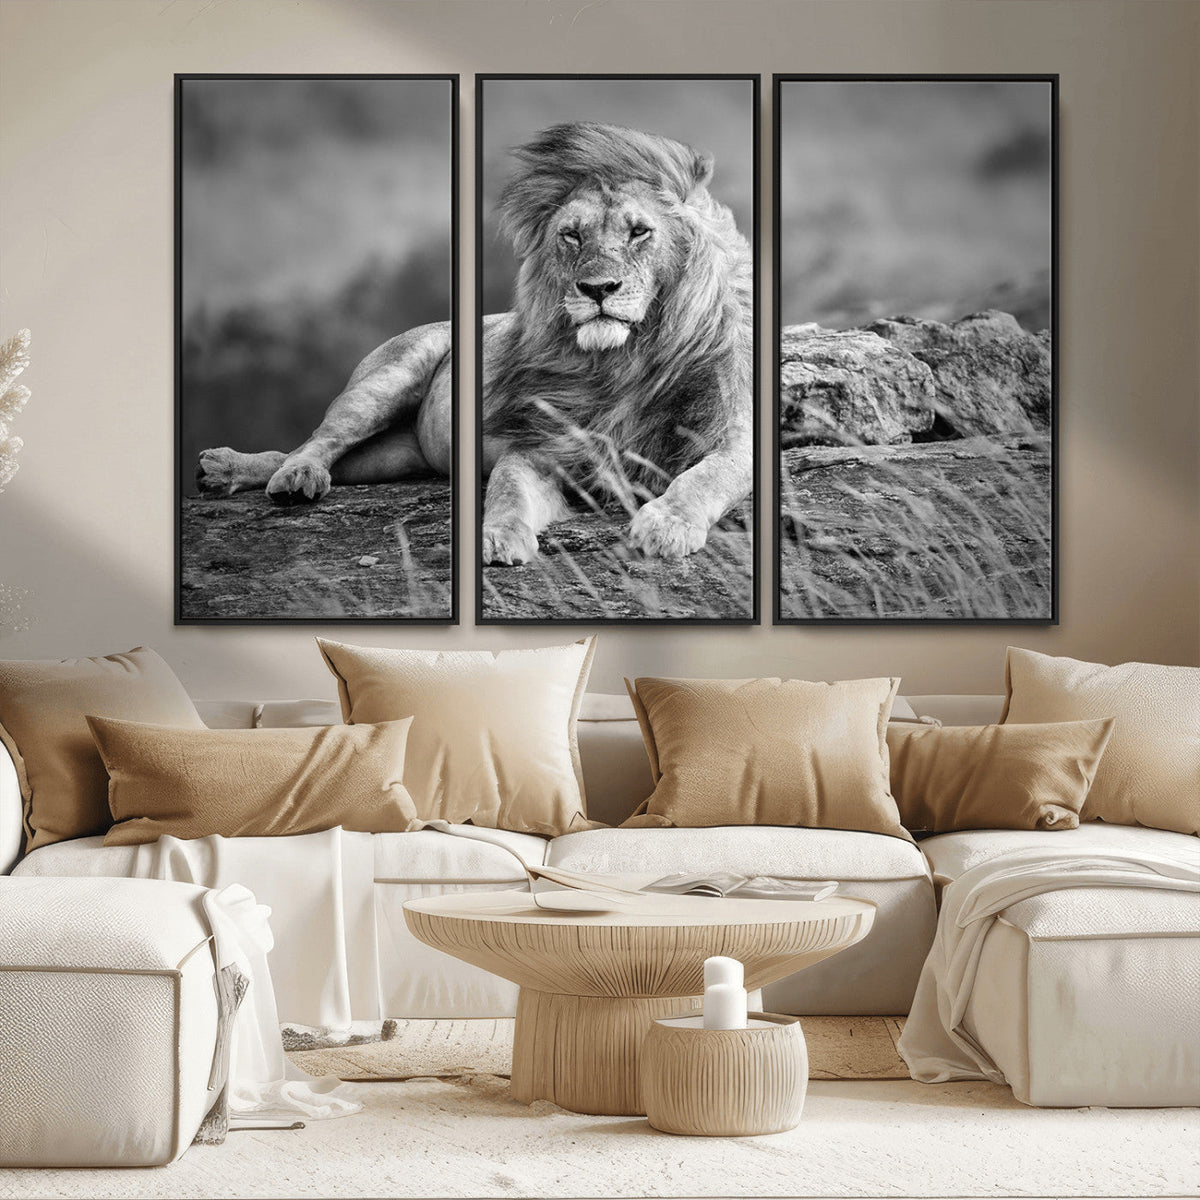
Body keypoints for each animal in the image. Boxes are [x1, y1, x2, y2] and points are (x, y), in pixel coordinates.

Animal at [196, 122, 754, 564]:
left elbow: (706, 475)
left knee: (321, 455)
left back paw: (228, 472)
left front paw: (666, 524)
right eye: (571, 236)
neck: (625, 361)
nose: (597, 289)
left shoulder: (735, 436)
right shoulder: (539, 446)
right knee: (317, 441)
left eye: (640, 232)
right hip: (385, 381)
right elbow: (506, 491)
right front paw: (494, 538)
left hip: (395, 456)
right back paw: (281, 475)